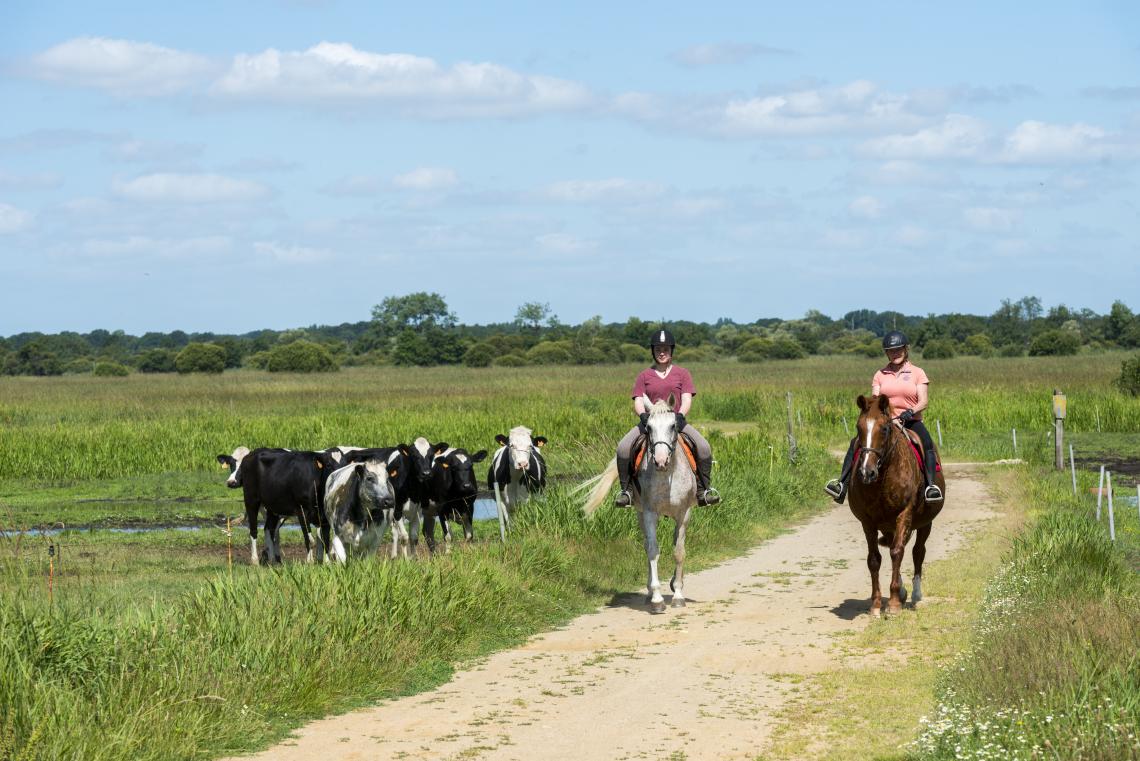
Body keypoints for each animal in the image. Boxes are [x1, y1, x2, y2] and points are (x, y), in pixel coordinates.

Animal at [579, 396, 693, 615]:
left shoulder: (684, 513)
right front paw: (657, 599)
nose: (660, 461)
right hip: (640, 513)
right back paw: (649, 593)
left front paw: (678, 594)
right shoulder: (649, 513)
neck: (667, 476)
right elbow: (653, 550)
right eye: (648, 427)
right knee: (647, 545)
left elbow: (679, 551)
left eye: (673, 425)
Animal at [848, 396, 943, 615]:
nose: (866, 472)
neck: (883, 478)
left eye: (884, 429)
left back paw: (915, 594)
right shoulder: (868, 522)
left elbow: (898, 552)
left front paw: (892, 604)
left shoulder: (904, 514)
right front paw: (876, 605)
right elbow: (874, 559)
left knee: (917, 552)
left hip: (925, 523)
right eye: (859, 428)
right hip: (888, 526)